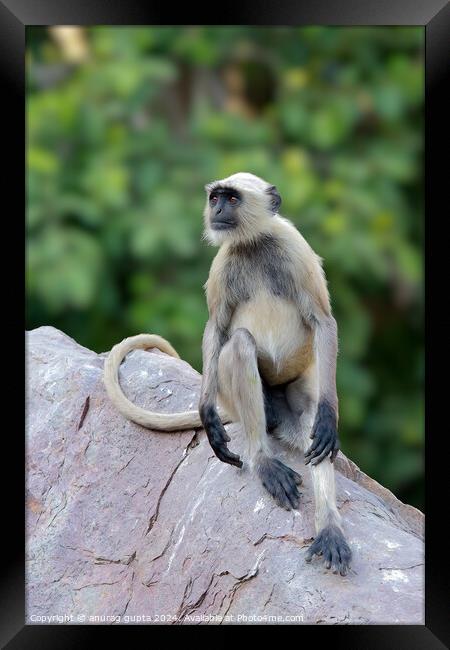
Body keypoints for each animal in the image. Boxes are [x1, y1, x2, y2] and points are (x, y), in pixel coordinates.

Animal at [104, 171, 352, 572]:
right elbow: (217, 330)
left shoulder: (293, 247)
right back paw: (264, 461)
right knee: (239, 343)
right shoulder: (222, 265)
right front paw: (208, 416)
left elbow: (323, 323)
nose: (217, 210)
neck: (253, 244)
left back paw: (329, 529)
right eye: (216, 198)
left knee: (310, 427)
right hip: (238, 397)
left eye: (232, 199)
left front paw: (329, 418)